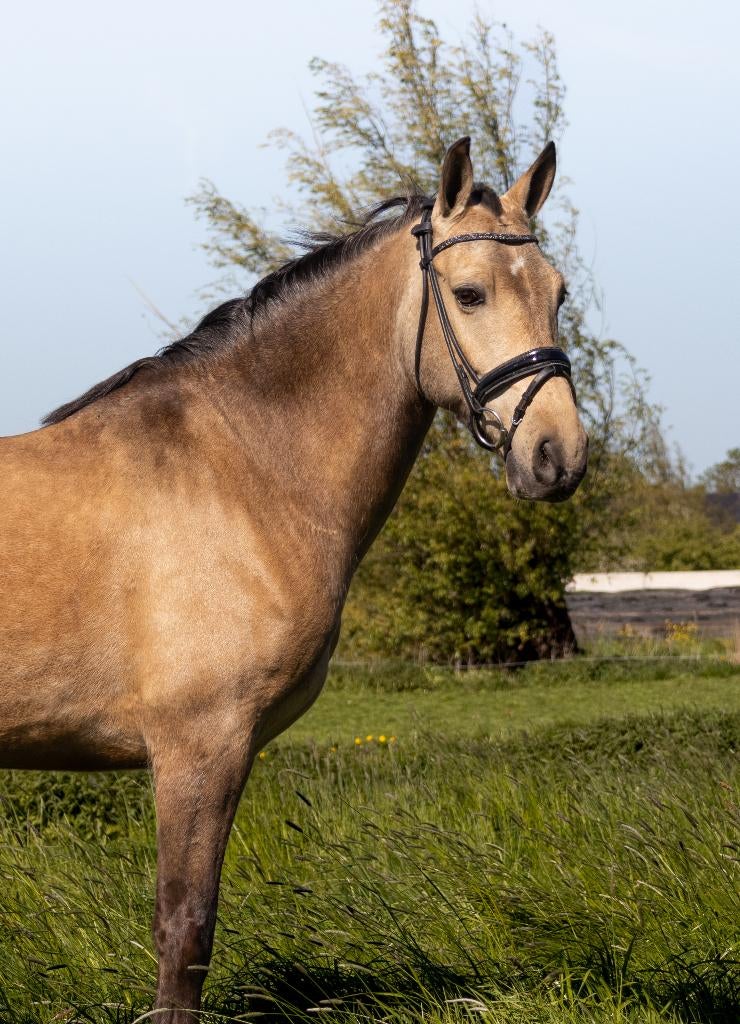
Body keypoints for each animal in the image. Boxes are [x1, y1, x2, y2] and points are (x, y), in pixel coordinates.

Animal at [0, 137, 588, 1019]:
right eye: (470, 293)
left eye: (557, 292)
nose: (558, 455)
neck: (242, 468)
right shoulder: (199, 749)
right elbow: (185, 930)